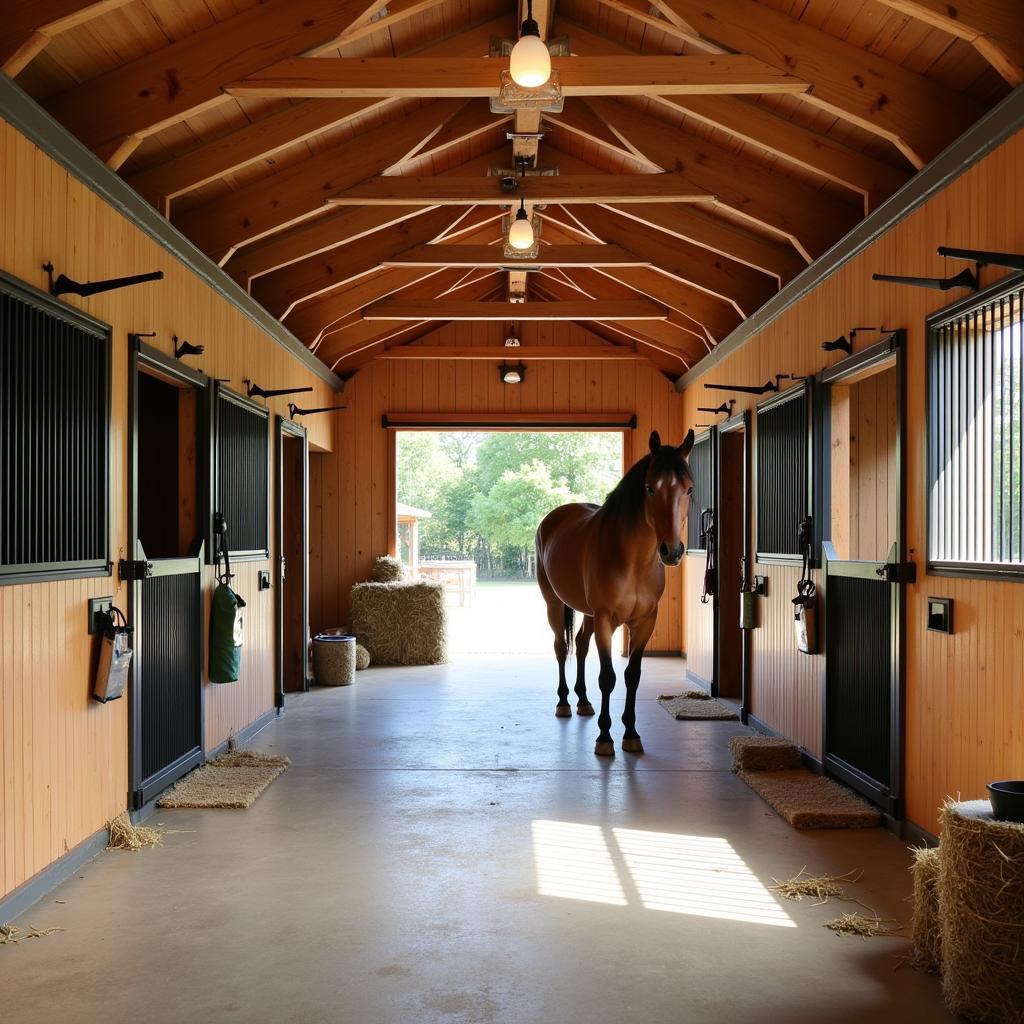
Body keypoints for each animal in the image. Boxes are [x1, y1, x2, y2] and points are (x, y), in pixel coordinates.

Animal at [536, 428, 696, 757]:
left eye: (688, 489)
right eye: (649, 488)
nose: (671, 551)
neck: (632, 560)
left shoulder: (645, 622)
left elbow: (632, 676)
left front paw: (631, 734)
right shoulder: (606, 620)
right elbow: (608, 677)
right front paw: (605, 737)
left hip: (587, 613)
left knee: (581, 645)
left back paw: (583, 702)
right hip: (554, 605)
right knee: (561, 646)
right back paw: (564, 702)